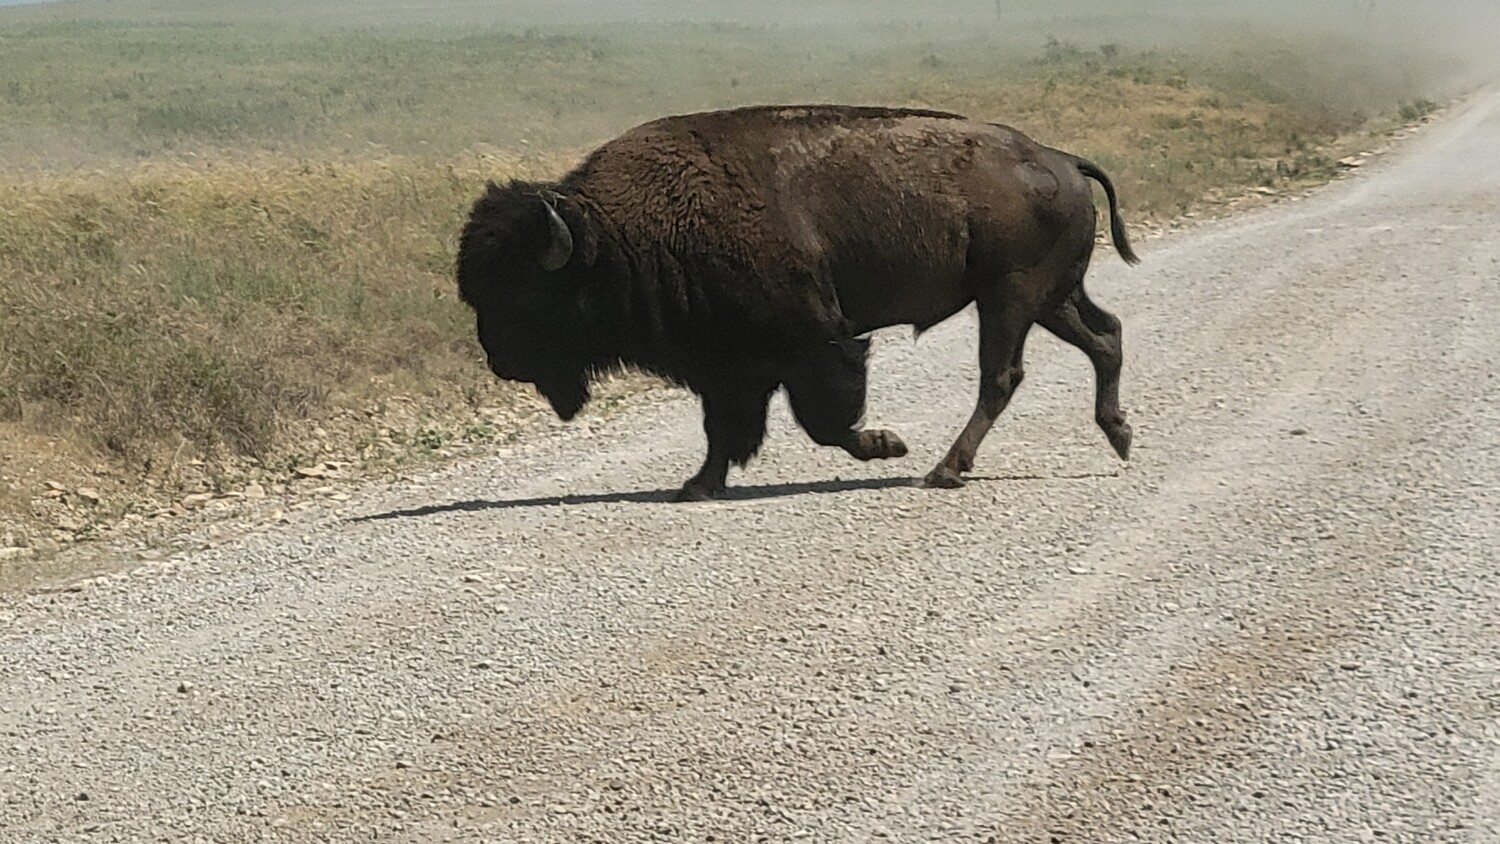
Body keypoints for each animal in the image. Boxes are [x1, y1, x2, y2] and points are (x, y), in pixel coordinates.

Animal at [456, 104, 1139, 501]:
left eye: (525, 291)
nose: (499, 360)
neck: (616, 235)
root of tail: (1061, 159)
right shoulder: (727, 368)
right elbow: (724, 430)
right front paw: (697, 485)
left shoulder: (816, 345)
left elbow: (823, 422)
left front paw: (886, 444)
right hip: (1051, 300)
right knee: (1105, 335)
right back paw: (1119, 435)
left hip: (1008, 301)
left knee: (1001, 375)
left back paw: (944, 469)